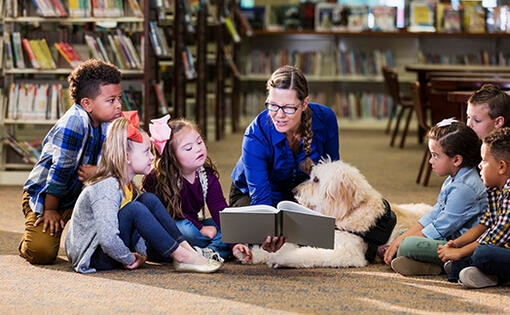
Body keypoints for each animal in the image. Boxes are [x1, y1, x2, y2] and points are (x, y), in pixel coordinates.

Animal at [235, 160, 430, 270]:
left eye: (316, 180)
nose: (294, 190)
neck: (351, 212)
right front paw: (249, 254)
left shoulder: (345, 252)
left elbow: (308, 253)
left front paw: (281, 259)